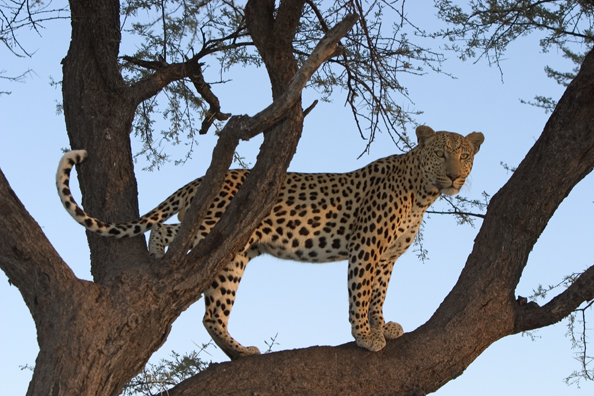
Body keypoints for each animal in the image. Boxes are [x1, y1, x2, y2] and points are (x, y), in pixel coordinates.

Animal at [55, 126, 480, 358]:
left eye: (465, 155)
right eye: (441, 153)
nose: (455, 177)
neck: (422, 193)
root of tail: (201, 181)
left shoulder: (388, 257)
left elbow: (378, 293)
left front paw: (381, 326)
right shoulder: (366, 248)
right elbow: (360, 293)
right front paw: (363, 336)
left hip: (227, 245)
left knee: (177, 248)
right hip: (223, 242)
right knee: (203, 296)